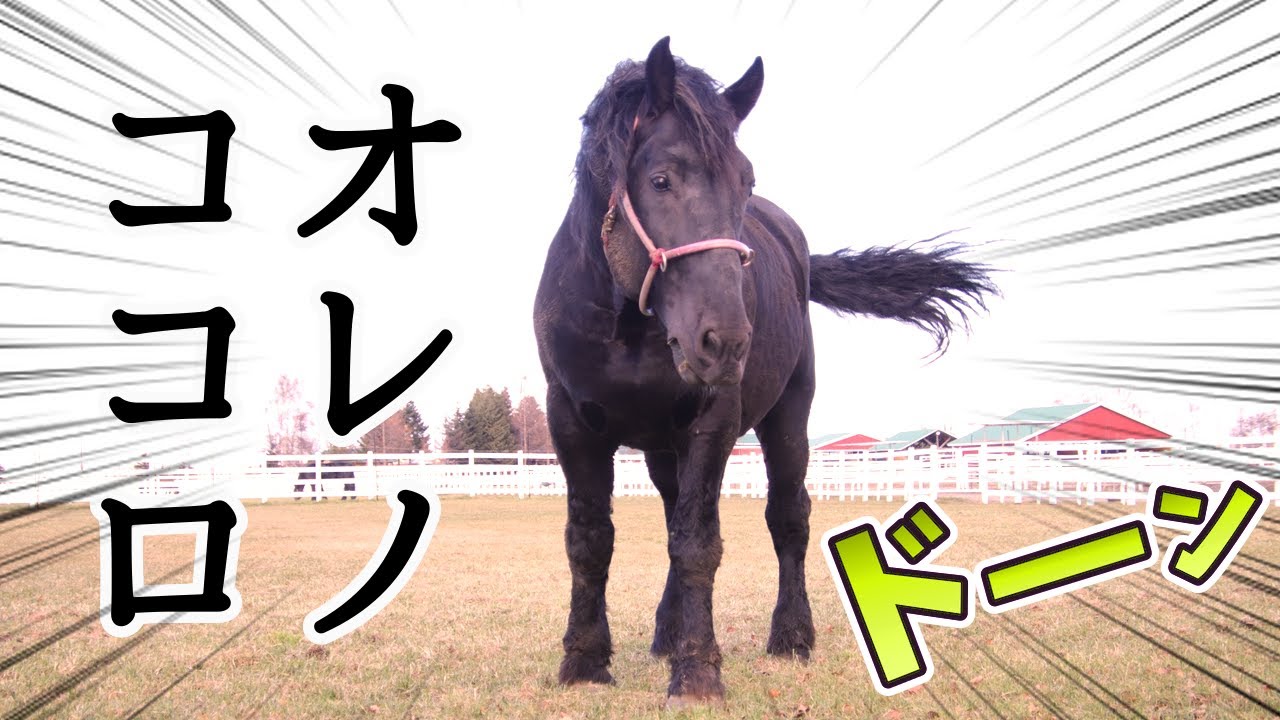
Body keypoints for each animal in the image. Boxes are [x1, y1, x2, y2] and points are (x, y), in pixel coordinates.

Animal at [533, 37, 998, 706]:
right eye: (660, 179)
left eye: (746, 181)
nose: (725, 341)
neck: (629, 324)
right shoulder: (571, 422)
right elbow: (591, 541)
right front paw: (586, 662)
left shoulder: (713, 422)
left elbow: (699, 545)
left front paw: (698, 673)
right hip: (661, 450)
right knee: (675, 515)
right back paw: (667, 632)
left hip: (788, 418)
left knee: (788, 519)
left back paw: (791, 637)